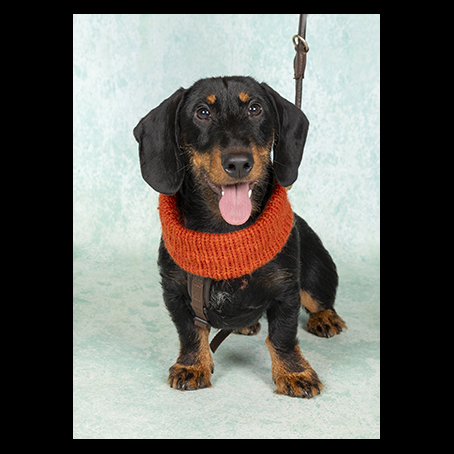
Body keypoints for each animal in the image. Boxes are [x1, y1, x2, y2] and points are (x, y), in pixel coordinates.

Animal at [134, 76, 346, 398]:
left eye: (255, 108)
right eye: (202, 112)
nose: (238, 163)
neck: (226, 233)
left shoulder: (286, 290)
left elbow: (283, 336)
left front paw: (294, 373)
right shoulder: (174, 290)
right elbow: (190, 332)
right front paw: (191, 365)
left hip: (316, 274)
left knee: (318, 299)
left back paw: (325, 318)